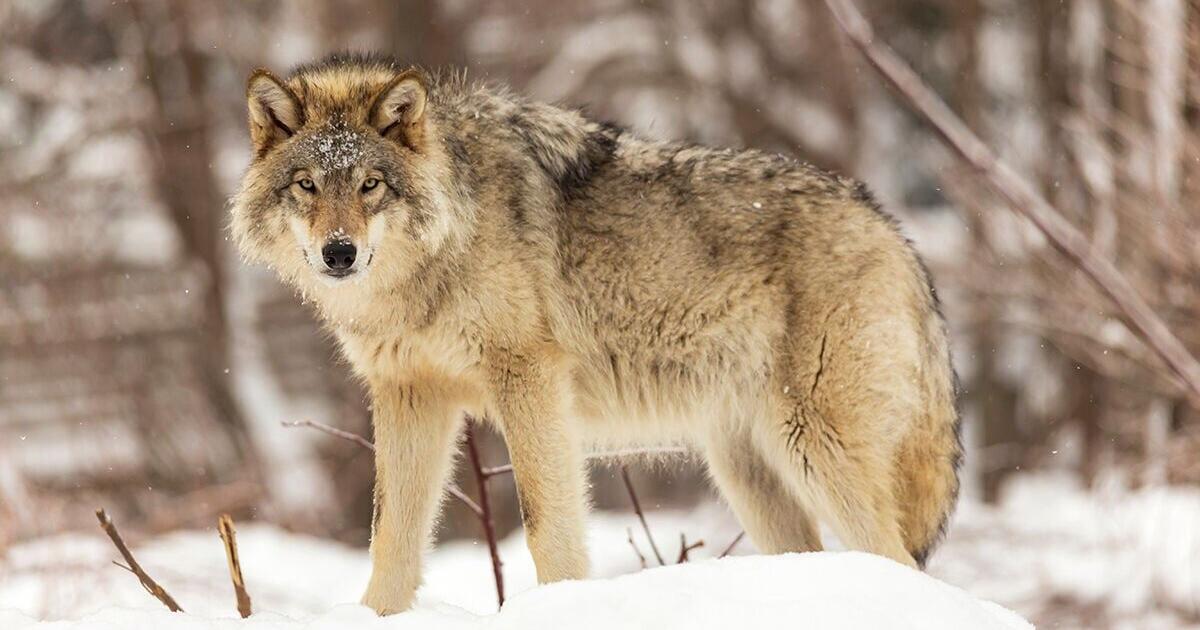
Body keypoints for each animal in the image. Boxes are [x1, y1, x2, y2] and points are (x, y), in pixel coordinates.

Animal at [230, 53, 961, 615]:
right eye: (307, 185)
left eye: (371, 185)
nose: (339, 253)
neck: (436, 257)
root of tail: (894, 231)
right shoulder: (408, 393)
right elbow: (391, 537)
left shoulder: (527, 377)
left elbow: (545, 525)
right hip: (749, 471)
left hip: (814, 449)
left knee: (899, 559)